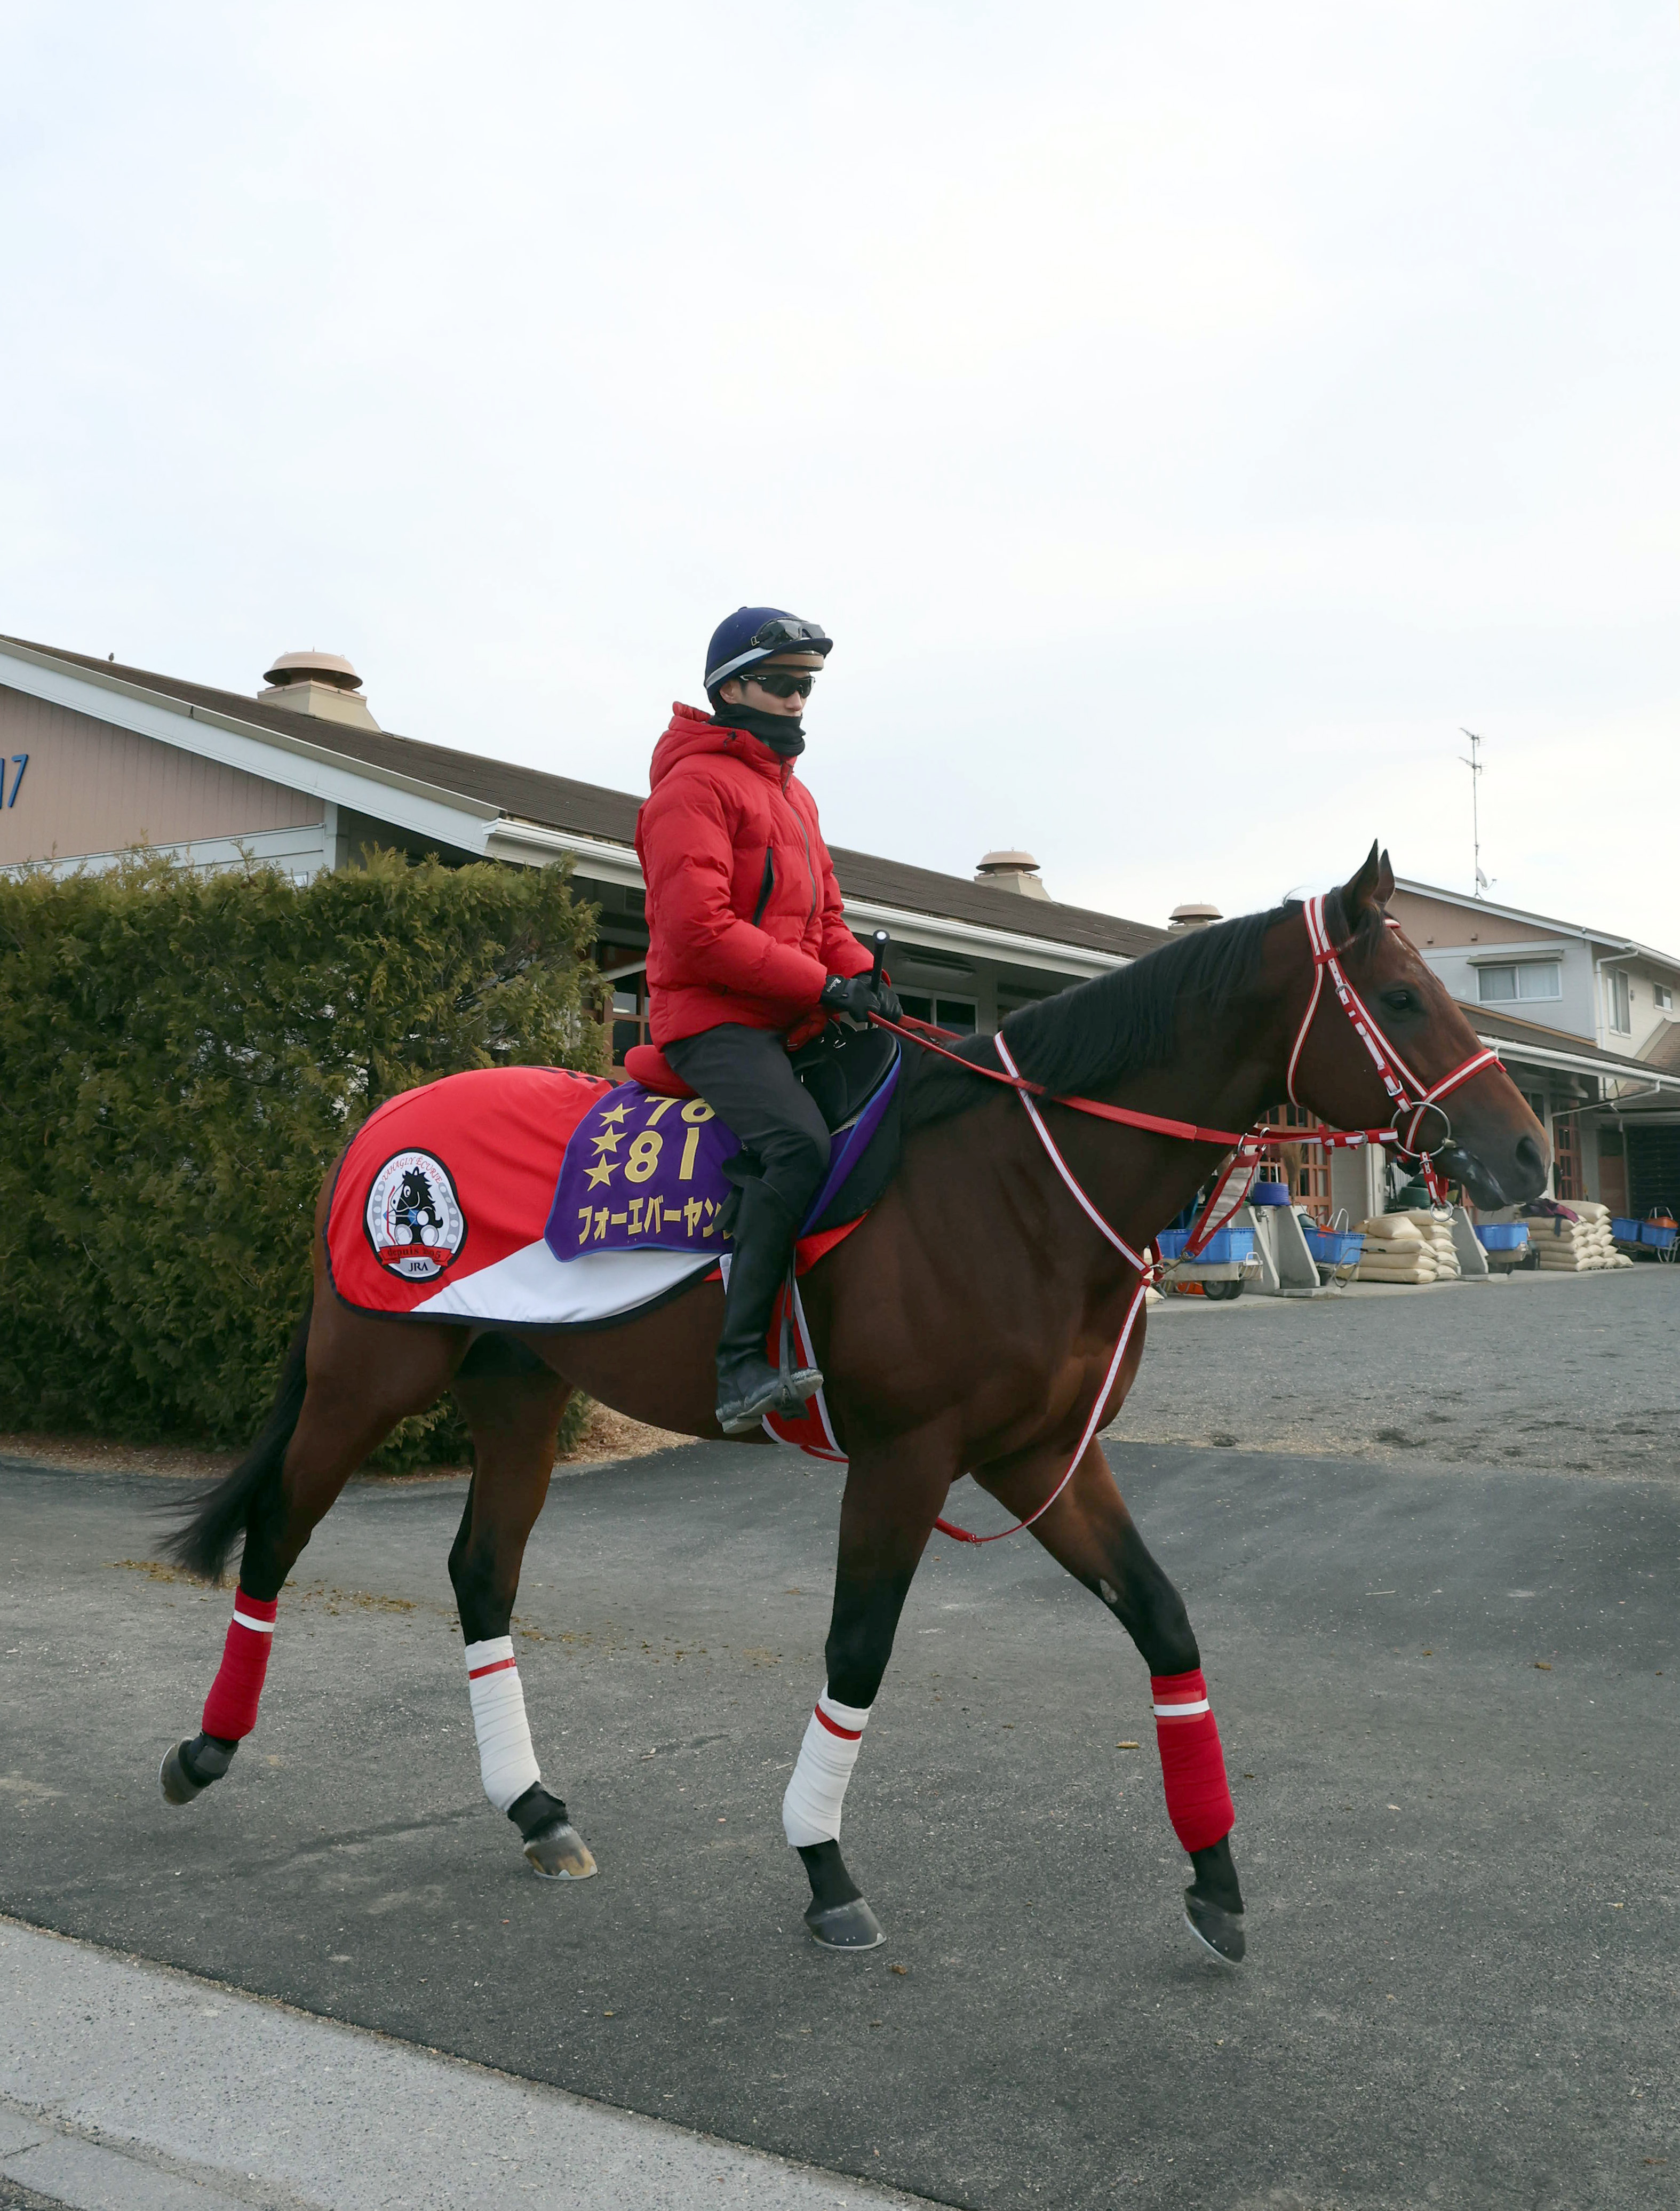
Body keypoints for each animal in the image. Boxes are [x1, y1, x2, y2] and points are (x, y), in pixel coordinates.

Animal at [158, 845, 1548, 1963]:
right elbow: (857, 1650)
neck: (1012, 1179)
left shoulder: (1040, 1453)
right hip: (368, 1377)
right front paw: (823, 1865)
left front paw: (1213, 1879)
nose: (1529, 1154)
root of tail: (377, 1117)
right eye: (1402, 996)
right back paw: (205, 1749)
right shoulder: (906, 1458)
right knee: (280, 1533)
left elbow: (1163, 1625)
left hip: (518, 1393)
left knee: (480, 1570)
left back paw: (536, 1810)